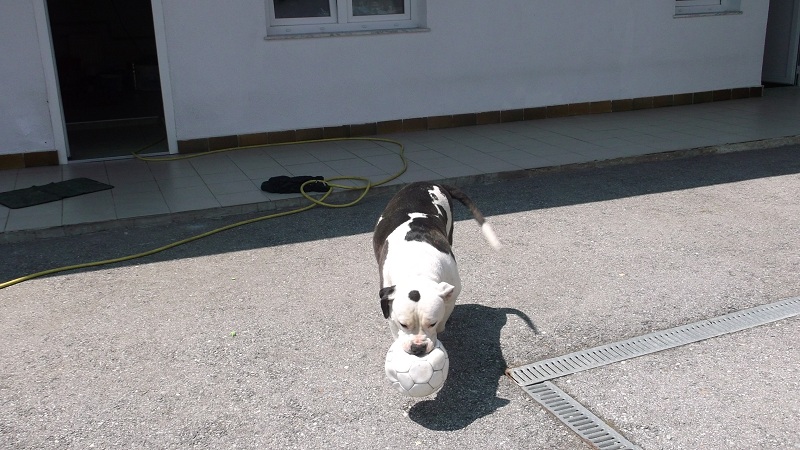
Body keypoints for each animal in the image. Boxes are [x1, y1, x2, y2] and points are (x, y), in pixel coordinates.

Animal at [373, 182, 501, 356]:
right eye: (403, 324)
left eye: (432, 323)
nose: (418, 348)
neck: (416, 266)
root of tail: (429, 182)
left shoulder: (452, 293)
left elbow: (444, 315)